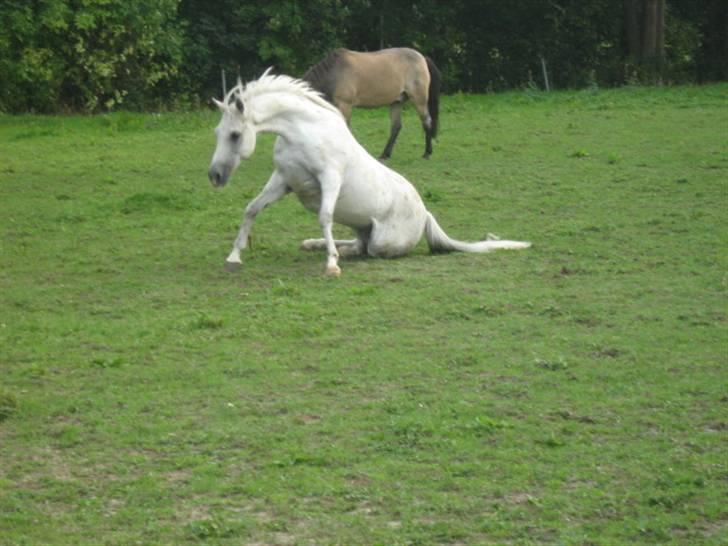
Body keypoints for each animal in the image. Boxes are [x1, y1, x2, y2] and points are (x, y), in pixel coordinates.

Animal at [205, 71, 528, 276]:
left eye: (235, 135)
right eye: (217, 133)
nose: (215, 176)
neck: (303, 132)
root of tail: (425, 214)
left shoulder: (330, 178)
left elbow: (325, 216)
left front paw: (331, 267)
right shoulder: (283, 181)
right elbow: (252, 209)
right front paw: (234, 258)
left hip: (380, 242)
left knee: (365, 250)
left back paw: (329, 252)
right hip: (360, 228)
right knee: (355, 245)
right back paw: (312, 244)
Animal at [300, 47, 438, 158]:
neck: (333, 73)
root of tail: (422, 58)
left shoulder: (345, 105)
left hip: (419, 101)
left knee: (426, 122)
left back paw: (427, 153)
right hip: (396, 102)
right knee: (396, 127)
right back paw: (385, 155)